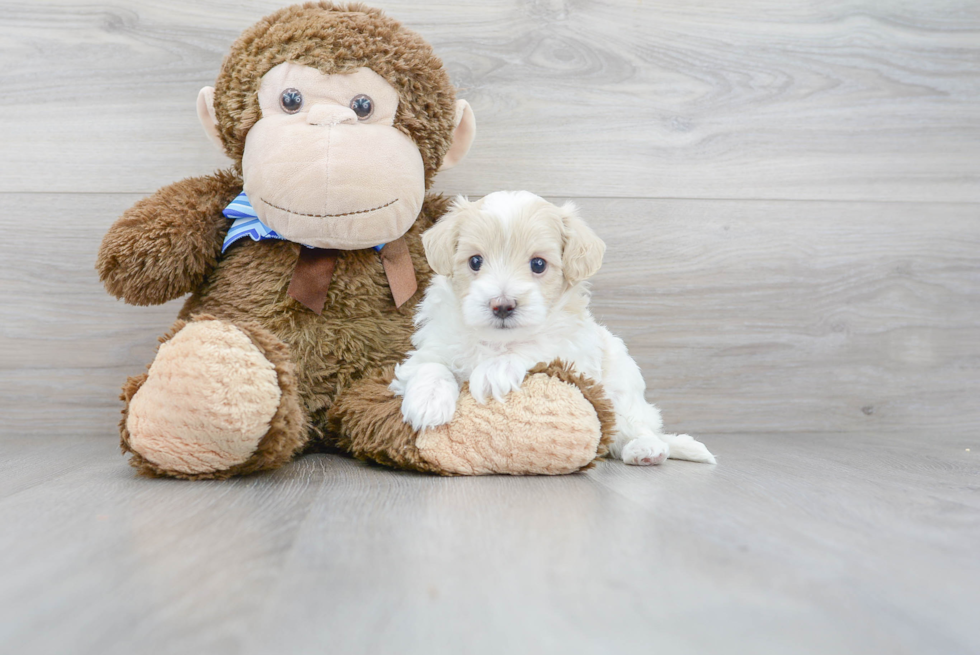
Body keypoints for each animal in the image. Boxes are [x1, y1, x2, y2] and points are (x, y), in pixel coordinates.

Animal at [386, 191, 716, 466]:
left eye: (538, 265)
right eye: (475, 261)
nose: (502, 305)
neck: (496, 341)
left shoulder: (574, 352)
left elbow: (537, 346)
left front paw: (494, 371)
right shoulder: (435, 345)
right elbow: (431, 365)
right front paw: (427, 401)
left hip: (623, 391)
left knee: (630, 428)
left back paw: (645, 448)